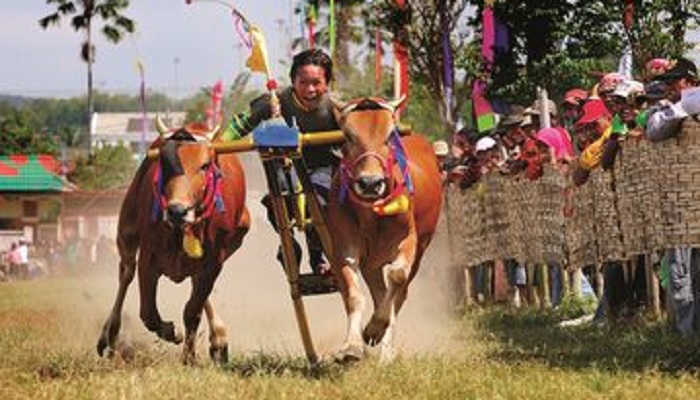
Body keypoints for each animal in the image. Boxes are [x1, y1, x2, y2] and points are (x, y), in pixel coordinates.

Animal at [97, 118, 250, 362]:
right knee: (126, 273)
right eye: (165, 163)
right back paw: (109, 334)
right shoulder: (147, 259)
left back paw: (218, 338)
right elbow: (148, 313)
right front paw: (171, 331)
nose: (177, 210)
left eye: (205, 165)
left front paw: (189, 357)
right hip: (126, 232)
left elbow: (192, 311)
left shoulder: (213, 263)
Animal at [330, 97, 442, 362]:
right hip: (372, 261)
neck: (372, 214)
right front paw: (351, 345)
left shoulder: (409, 242)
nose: (370, 183)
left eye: (389, 135)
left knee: (399, 294)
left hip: (421, 250)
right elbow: (353, 295)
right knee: (379, 291)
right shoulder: (345, 247)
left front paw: (375, 329)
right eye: (348, 136)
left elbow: (397, 278)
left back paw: (386, 351)